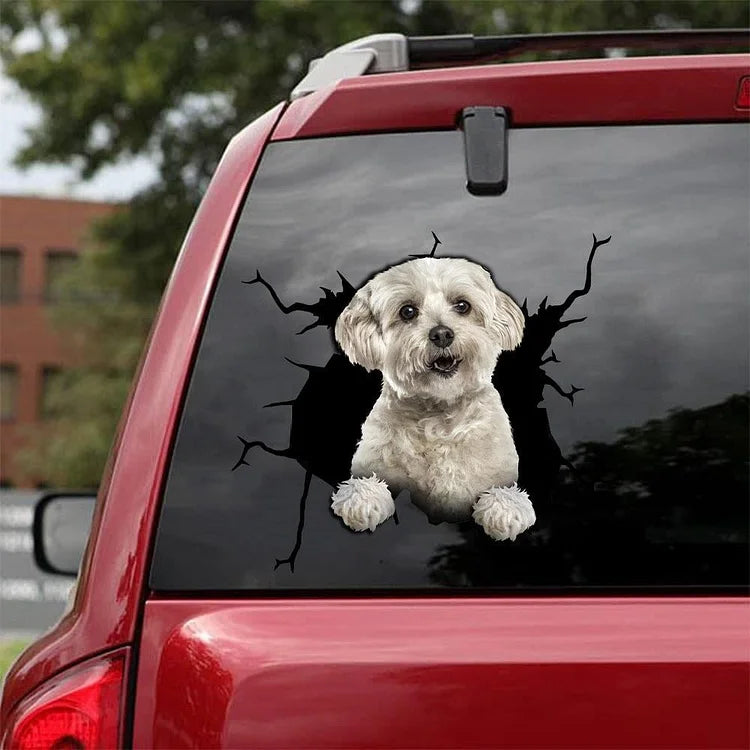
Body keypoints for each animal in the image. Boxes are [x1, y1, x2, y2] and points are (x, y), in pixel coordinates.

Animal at [332, 258, 536, 540]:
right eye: (407, 311)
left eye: (462, 305)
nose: (442, 334)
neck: (438, 412)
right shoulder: (376, 463)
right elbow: (366, 483)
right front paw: (362, 501)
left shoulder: (495, 470)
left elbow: (502, 491)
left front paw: (504, 510)